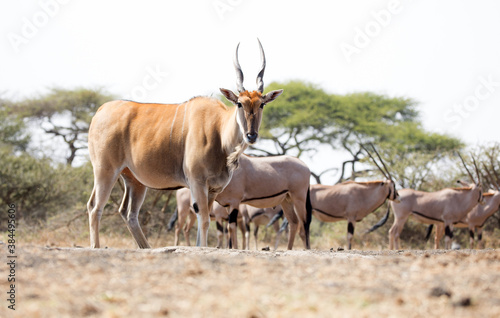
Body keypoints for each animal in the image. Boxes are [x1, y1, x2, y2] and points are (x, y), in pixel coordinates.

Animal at [86, 40, 282, 248]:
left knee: (128, 213)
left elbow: (204, 219)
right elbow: (204, 219)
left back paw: (145, 247)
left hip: (134, 180)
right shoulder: (197, 182)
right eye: (239, 103)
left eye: (262, 104)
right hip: (105, 170)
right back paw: (96, 246)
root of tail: (100, 111)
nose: (251, 135)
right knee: (95, 207)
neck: (219, 131)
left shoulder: (212, 189)